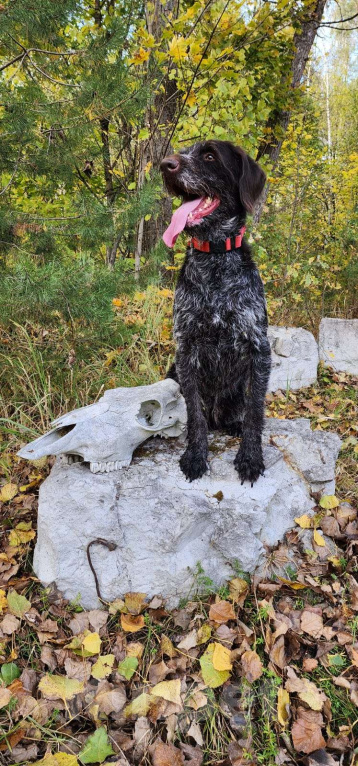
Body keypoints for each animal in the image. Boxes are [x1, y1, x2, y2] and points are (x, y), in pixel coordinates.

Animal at [161, 140, 270, 486]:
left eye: (209, 155)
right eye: (181, 151)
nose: (165, 165)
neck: (215, 259)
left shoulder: (259, 348)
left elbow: (255, 411)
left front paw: (250, 458)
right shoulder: (185, 349)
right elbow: (194, 413)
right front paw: (196, 456)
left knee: (237, 411)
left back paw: (233, 423)